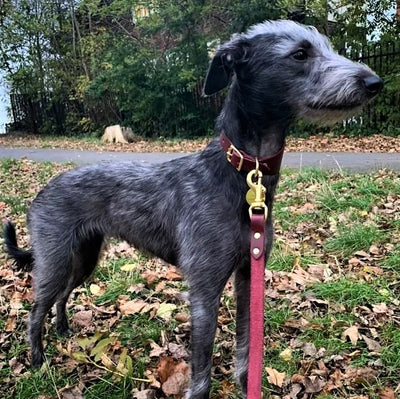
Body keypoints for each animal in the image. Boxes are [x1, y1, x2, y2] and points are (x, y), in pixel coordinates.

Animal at [3, 20, 384, 398]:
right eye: (300, 53)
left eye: (328, 46)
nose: (374, 83)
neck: (241, 175)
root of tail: (41, 193)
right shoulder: (204, 288)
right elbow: (202, 368)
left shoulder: (248, 275)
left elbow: (246, 346)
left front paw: (245, 384)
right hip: (55, 259)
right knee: (36, 308)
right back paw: (37, 359)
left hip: (83, 257)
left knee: (62, 295)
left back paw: (63, 329)